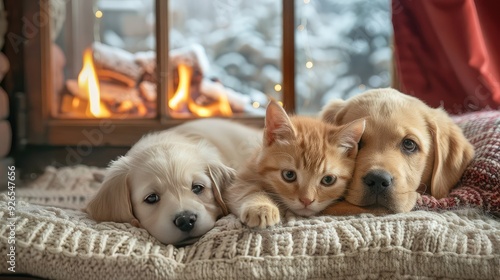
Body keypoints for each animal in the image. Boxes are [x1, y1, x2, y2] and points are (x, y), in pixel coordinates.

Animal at [225, 100, 366, 228]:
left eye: (328, 180)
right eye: (289, 175)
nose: (306, 201)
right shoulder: (242, 178)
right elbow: (246, 190)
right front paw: (261, 207)